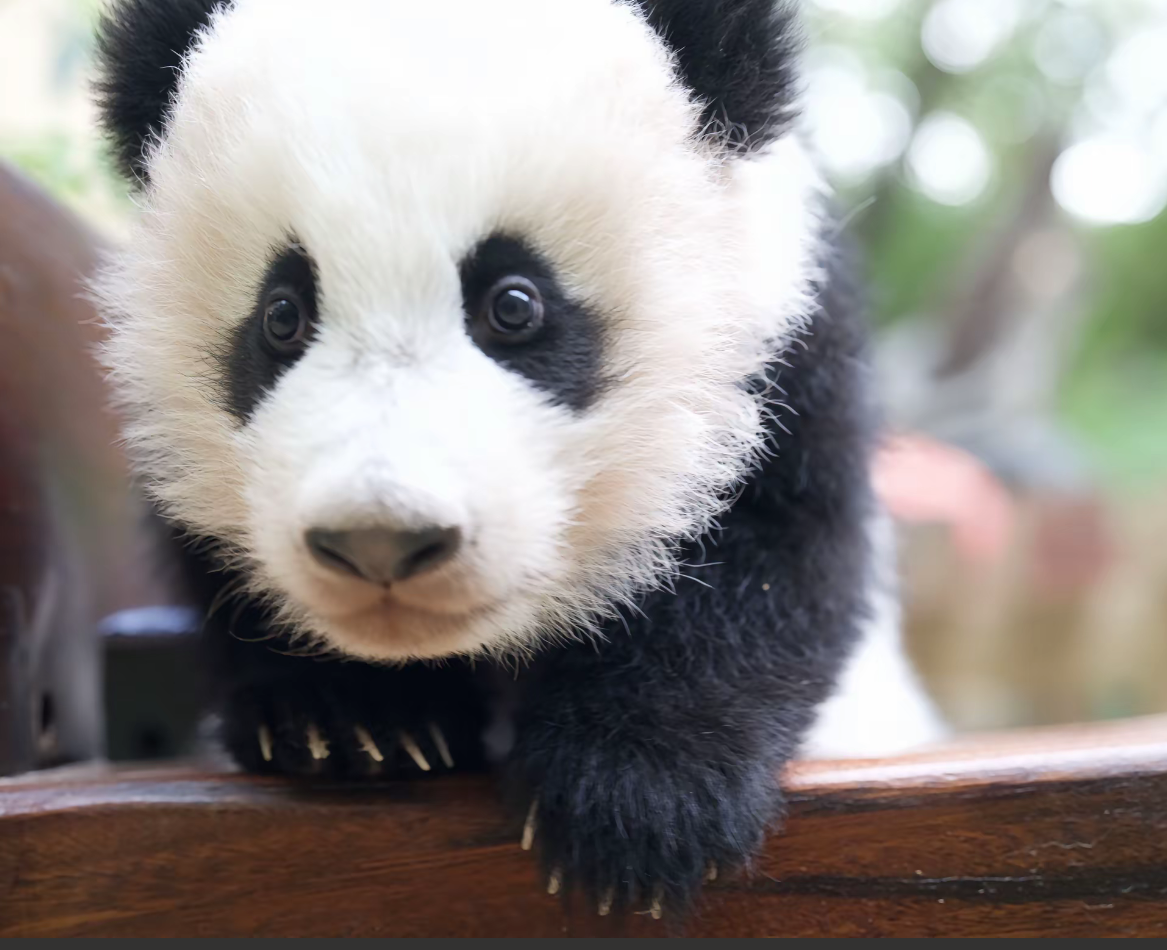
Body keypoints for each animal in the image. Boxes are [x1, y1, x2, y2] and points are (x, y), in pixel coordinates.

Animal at [92, 0, 944, 918]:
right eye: (282, 314)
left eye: (513, 304)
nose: (379, 542)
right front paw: (355, 721)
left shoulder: (783, 362)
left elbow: (774, 558)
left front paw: (634, 801)